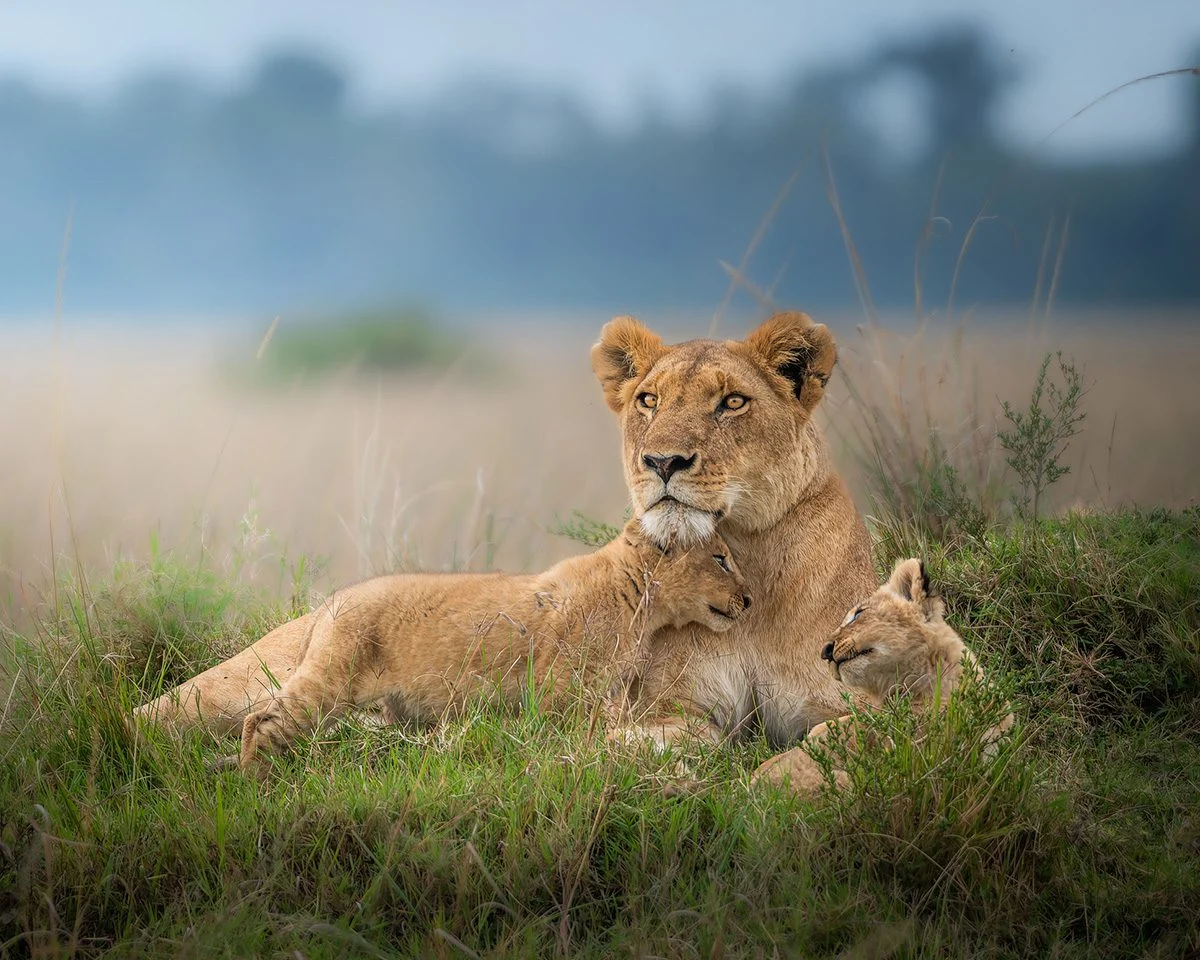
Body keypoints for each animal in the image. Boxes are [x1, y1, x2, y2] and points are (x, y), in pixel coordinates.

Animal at [234, 519, 749, 773]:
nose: (749, 600)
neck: (636, 597)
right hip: (331, 681)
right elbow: (574, 740)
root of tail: (329, 604)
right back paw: (255, 781)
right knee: (260, 720)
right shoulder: (559, 694)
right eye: (721, 559)